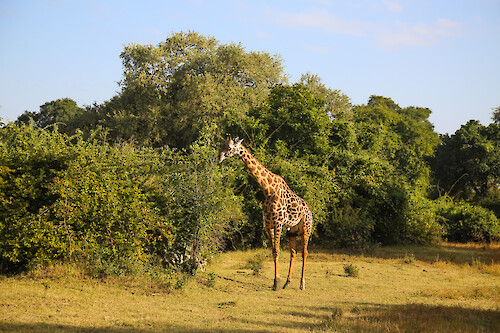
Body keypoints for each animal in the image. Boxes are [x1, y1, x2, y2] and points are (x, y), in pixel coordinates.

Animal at [220, 136, 312, 290]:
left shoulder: (278, 222)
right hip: (292, 231)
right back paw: (287, 282)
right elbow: (273, 251)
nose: (220, 157)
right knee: (294, 252)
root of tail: (310, 212)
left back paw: (302, 284)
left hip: (306, 228)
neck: (268, 190)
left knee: (305, 252)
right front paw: (277, 282)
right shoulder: (268, 224)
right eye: (221, 145)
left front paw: (276, 283)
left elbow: (277, 251)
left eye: (229, 147)